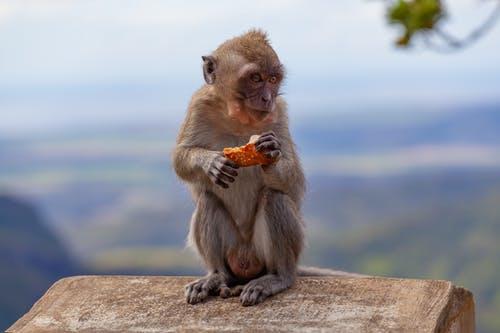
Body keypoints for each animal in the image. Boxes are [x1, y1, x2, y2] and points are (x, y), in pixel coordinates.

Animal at [173, 29, 364, 306]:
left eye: (273, 79)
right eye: (255, 78)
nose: (267, 98)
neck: (239, 118)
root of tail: (246, 261)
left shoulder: (279, 113)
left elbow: (294, 183)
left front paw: (270, 154)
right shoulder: (198, 105)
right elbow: (179, 158)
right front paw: (211, 163)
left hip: (278, 250)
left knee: (274, 198)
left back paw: (277, 278)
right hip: (234, 252)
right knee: (207, 200)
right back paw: (217, 276)